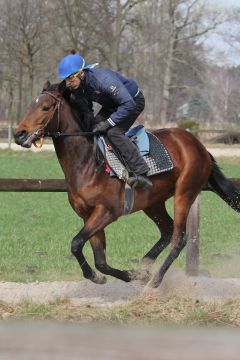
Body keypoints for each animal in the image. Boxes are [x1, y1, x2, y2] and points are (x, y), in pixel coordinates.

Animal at [13, 83, 240, 288]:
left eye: (46, 107)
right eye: (31, 105)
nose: (19, 134)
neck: (88, 164)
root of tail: (200, 146)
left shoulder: (106, 211)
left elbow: (76, 243)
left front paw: (123, 275)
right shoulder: (88, 215)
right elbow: (100, 260)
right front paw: (122, 275)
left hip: (185, 192)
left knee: (179, 238)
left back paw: (156, 279)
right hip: (153, 202)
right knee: (166, 231)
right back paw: (145, 266)